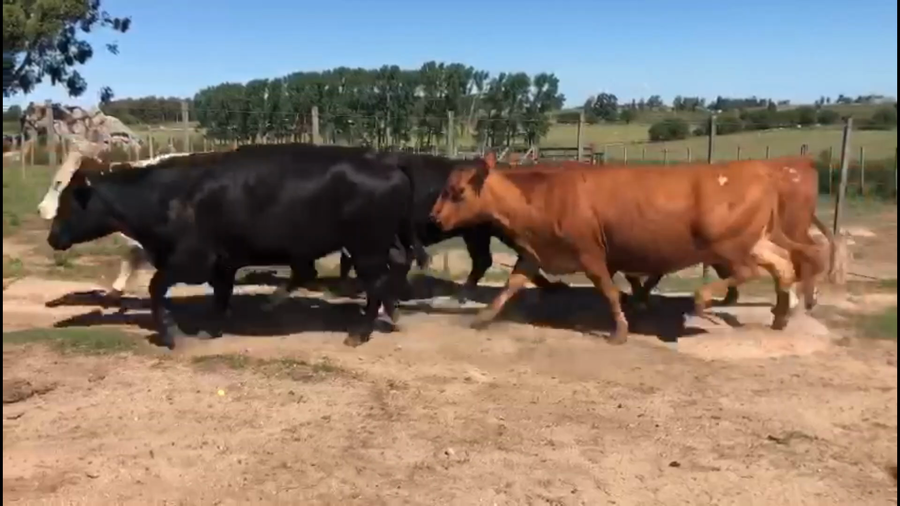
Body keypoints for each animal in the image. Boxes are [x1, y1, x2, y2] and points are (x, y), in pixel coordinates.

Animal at [46, 144, 425, 349]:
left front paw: (171, 334)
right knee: (396, 264)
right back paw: (393, 314)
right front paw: (210, 329)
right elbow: (221, 295)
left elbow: (156, 287)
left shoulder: (192, 259)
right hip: (381, 243)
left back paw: (360, 332)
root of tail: (386, 162)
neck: (168, 195)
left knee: (376, 282)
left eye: (67, 202)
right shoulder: (223, 262)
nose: (52, 237)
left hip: (366, 247)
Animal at [430, 153, 825, 344]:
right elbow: (509, 287)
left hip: (726, 244)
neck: (544, 196)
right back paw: (780, 316)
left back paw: (704, 299)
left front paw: (619, 330)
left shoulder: (591, 254)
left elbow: (609, 291)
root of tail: (764, 172)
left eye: (457, 192)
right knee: (783, 265)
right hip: (756, 240)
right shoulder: (534, 254)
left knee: (750, 270)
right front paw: (482, 318)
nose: (434, 217)